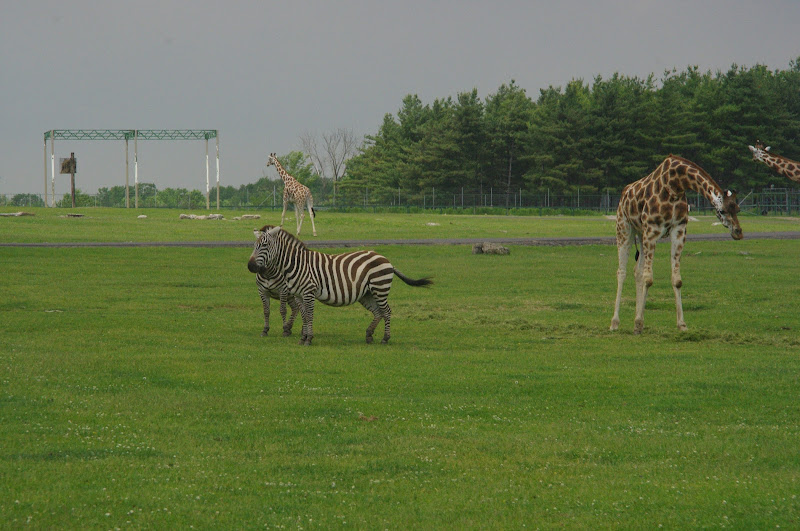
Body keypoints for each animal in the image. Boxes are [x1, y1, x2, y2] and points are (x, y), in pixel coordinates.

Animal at [247, 225, 433, 345]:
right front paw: (303, 337)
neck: (296, 264)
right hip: (367, 294)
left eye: (264, 245)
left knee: (386, 311)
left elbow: (310, 316)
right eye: (254, 246)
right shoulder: (299, 295)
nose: (250, 266)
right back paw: (369, 335)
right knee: (378, 312)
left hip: (380, 288)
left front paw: (308, 338)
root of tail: (386, 260)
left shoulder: (308, 292)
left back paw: (385, 338)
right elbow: (304, 316)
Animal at [610, 155, 744, 334]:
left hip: (640, 233)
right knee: (622, 272)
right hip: (624, 228)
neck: (676, 185)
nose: (738, 232)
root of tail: (624, 193)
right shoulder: (652, 230)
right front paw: (638, 323)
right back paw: (615, 322)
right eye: (722, 211)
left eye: (738, 209)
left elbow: (676, 280)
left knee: (637, 271)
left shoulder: (678, 230)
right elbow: (648, 279)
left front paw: (681, 324)